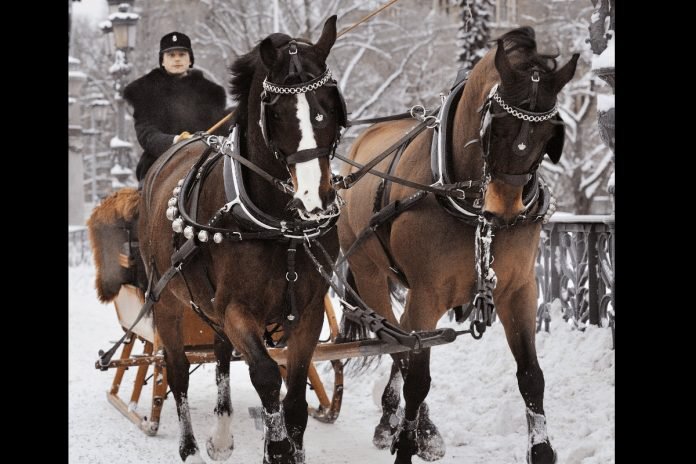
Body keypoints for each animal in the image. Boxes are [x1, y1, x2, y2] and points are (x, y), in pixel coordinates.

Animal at [137, 16, 344, 462]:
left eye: (330, 103)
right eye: (276, 111)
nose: (314, 199)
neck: (281, 228)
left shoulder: (308, 312)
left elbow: (295, 400)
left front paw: (286, 444)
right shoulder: (236, 309)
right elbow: (265, 374)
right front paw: (277, 447)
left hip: (209, 308)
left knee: (220, 357)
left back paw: (221, 435)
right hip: (167, 302)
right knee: (177, 374)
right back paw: (190, 447)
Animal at [334, 28, 580, 464]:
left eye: (548, 133)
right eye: (495, 125)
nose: (504, 208)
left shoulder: (519, 290)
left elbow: (531, 376)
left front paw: (542, 450)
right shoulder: (427, 295)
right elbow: (418, 377)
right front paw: (408, 444)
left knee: (400, 341)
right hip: (370, 276)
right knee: (397, 345)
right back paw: (408, 426)